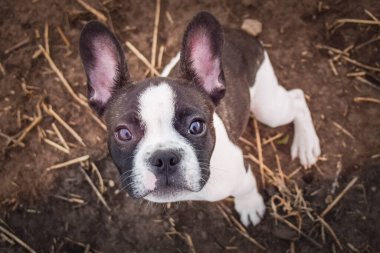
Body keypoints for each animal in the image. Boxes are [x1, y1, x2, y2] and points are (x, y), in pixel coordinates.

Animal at [79, 11, 320, 225]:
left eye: (196, 126)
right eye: (124, 133)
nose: (164, 158)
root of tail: (238, 33)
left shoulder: (239, 174)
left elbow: (247, 188)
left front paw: (250, 206)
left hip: (268, 108)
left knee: (297, 98)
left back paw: (306, 145)